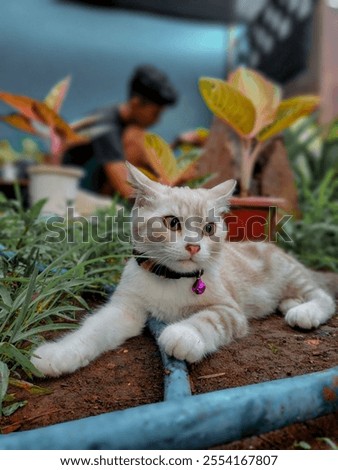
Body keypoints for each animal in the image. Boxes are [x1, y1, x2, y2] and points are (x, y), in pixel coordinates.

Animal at [30, 163, 336, 376]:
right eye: (172, 222)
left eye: (209, 228)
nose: (193, 246)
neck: (170, 279)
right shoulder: (125, 309)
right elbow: (93, 329)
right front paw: (57, 354)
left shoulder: (229, 310)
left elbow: (208, 319)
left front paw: (183, 335)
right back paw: (289, 304)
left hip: (292, 276)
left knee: (324, 297)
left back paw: (304, 311)